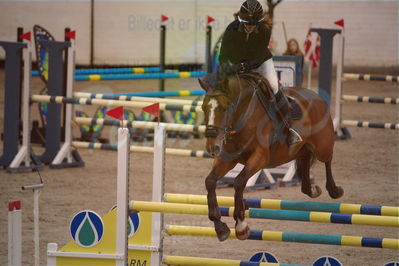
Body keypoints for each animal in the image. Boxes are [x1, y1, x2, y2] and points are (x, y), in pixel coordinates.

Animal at [198, 72, 346, 241]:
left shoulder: (259, 158)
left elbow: (239, 182)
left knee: (328, 159)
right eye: (203, 108)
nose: (212, 148)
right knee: (304, 161)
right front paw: (220, 227)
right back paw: (311, 189)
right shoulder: (227, 159)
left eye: (224, 108)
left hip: (322, 145)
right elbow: (210, 181)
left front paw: (241, 226)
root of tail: (316, 96)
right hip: (300, 149)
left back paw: (334, 190)